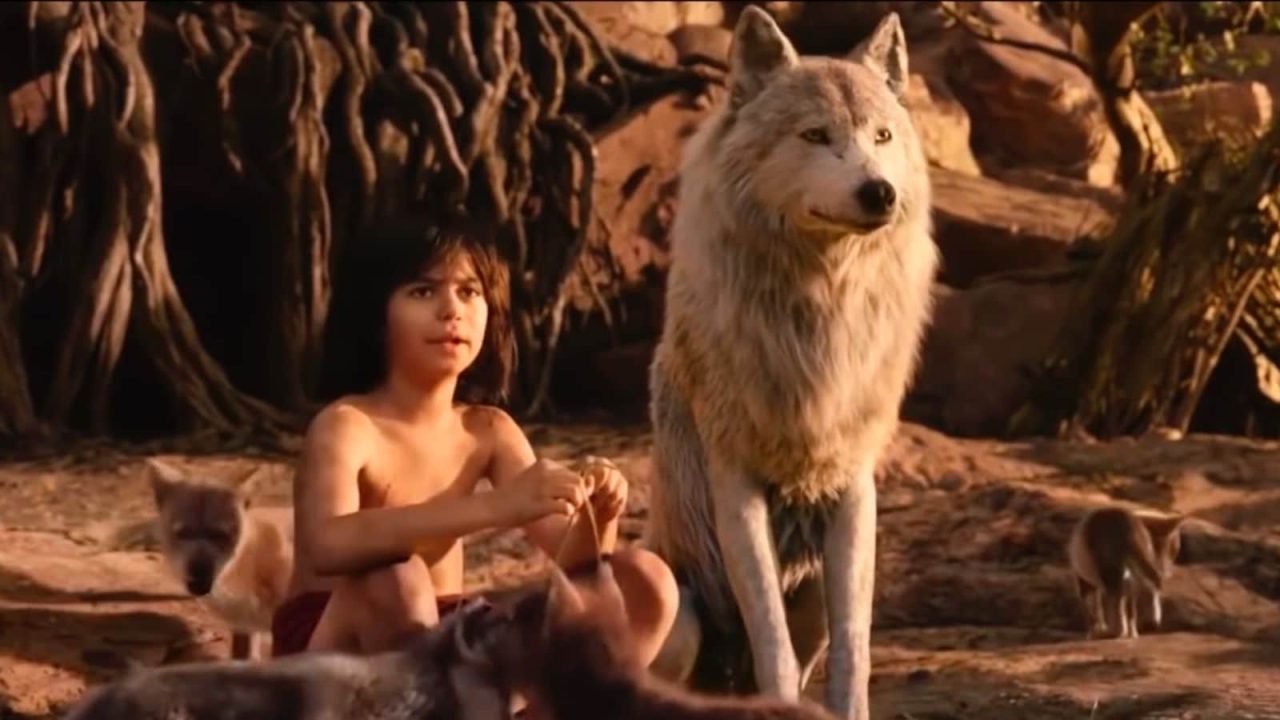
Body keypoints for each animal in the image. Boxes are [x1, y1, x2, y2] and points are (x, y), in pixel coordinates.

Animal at [642, 7, 938, 719]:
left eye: (882, 135)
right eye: (815, 135)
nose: (879, 191)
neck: (816, 313)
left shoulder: (851, 486)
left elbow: (855, 649)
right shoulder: (735, 481)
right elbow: (769, 640)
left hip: (811, 600)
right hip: (679, 606)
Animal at [1067, 506, 1185, 639]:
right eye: (1174, 550)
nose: (1169, 572)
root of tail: (1127, 524)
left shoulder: (1085, 581)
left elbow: (1093, 608)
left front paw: (1094, 631)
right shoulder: (1131, 583)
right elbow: (1128, 610)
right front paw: (1133, 633)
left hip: (1112, 574)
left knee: (1117, 613)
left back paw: (1108, 633)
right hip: (1129, 574)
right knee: (1147, 589)